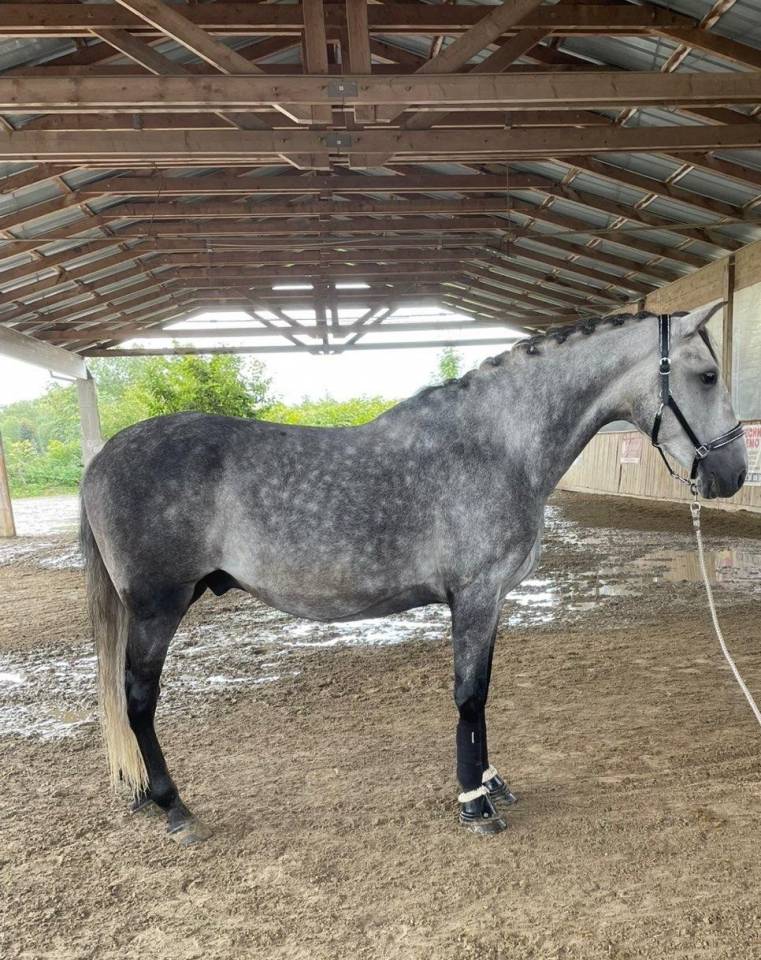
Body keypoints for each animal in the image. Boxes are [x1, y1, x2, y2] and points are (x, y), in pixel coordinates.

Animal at [80, 303, 747, 844]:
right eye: (708, 376)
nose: (734, 474)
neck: (496, 446)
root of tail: (102, 458)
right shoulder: (474, 595)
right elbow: (469, 696)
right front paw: (474, 804)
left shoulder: (491, 601)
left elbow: (483, 691)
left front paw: (490, 781)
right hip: (157, 609)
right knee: (138, 701)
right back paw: (175, 808)